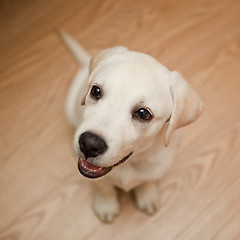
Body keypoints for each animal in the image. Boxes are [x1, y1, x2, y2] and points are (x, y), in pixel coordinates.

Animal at [59, 31, 203, 222]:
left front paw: (146, 194)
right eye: (96, 91)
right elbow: (102, 186)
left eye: (143, 114)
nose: (89, 144)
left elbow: (147, 180)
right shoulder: (93, 176)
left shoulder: (156, 167)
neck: (129, 164)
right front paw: (106, 204)